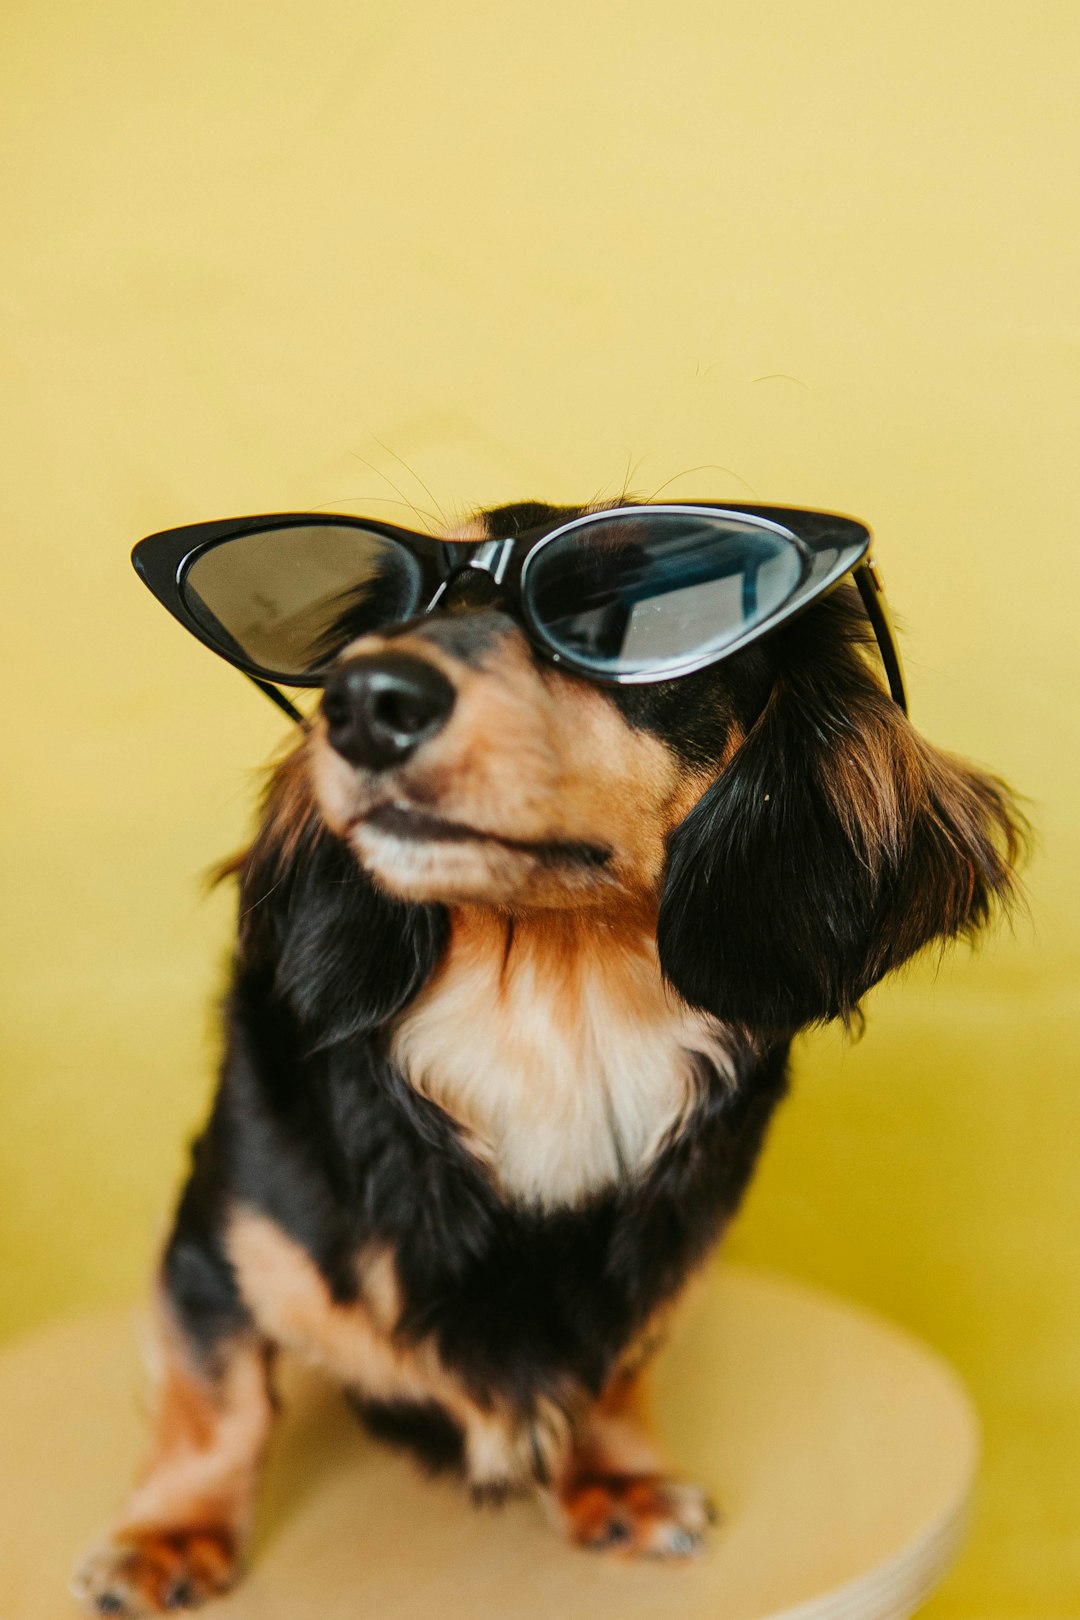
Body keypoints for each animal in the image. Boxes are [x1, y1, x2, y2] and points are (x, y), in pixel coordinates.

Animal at [74, 498, 1023, 1613]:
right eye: (389, 614)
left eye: (635, 608)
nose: (366, 700)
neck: (549, 1035)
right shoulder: (215, 1237)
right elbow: (217, 1398)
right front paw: (171, 1532)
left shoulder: (667, 1266)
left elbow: (620, 1362)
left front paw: (615, 1475)